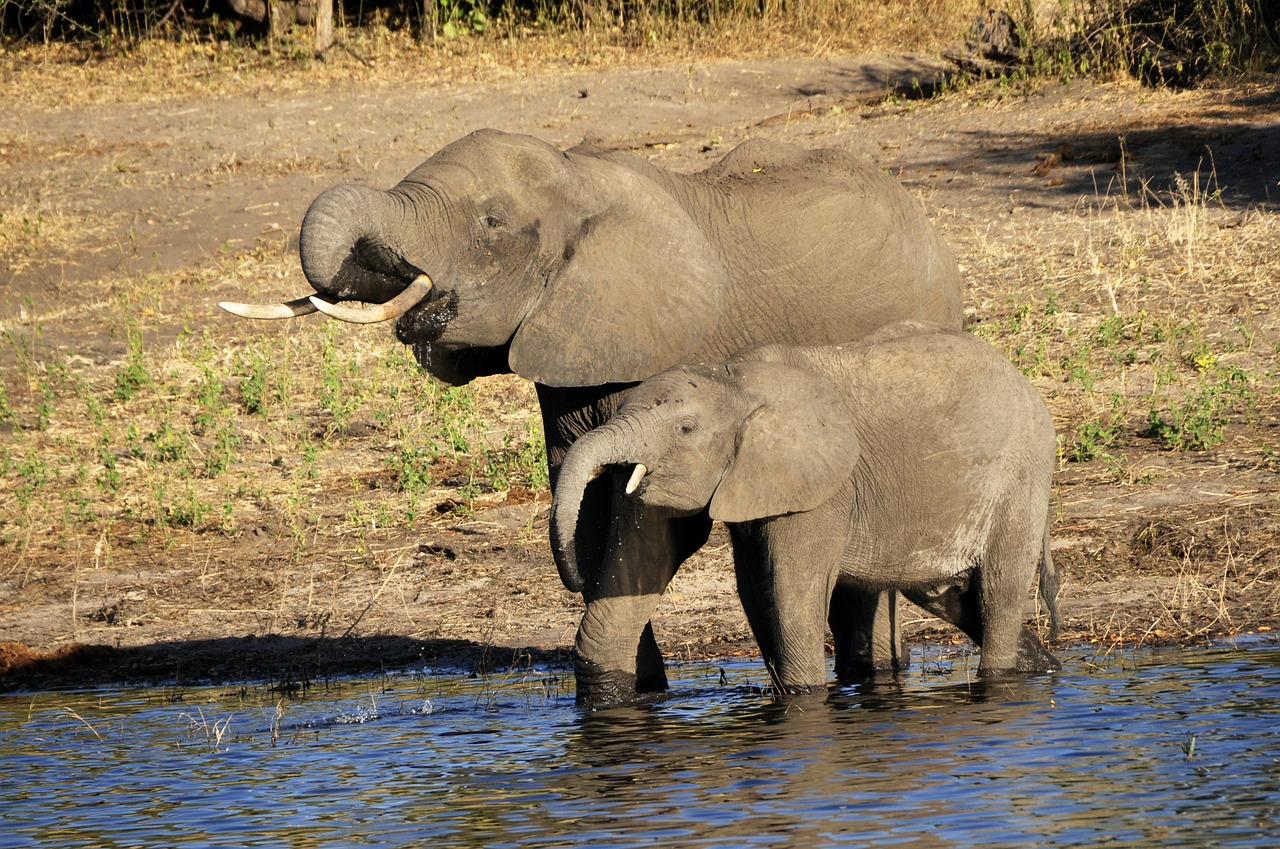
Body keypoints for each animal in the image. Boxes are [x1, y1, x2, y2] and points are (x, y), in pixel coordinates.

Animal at [222, 128, 962, 701]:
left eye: (491, 224)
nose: (392, 264)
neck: (579, 178)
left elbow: (650, 522)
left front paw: (611, 692)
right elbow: (584, 504)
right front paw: (638, 690)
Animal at [550, 322, 1059, 696]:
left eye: (686, 428)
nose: (573, 577)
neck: (735, 379)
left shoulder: (823, 490)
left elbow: (794, 590)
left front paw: (804, 697)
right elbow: (748, 585)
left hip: (1021, 474)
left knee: (998, 589)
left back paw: (1003, 678)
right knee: (942, 591)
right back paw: (1042, 666)